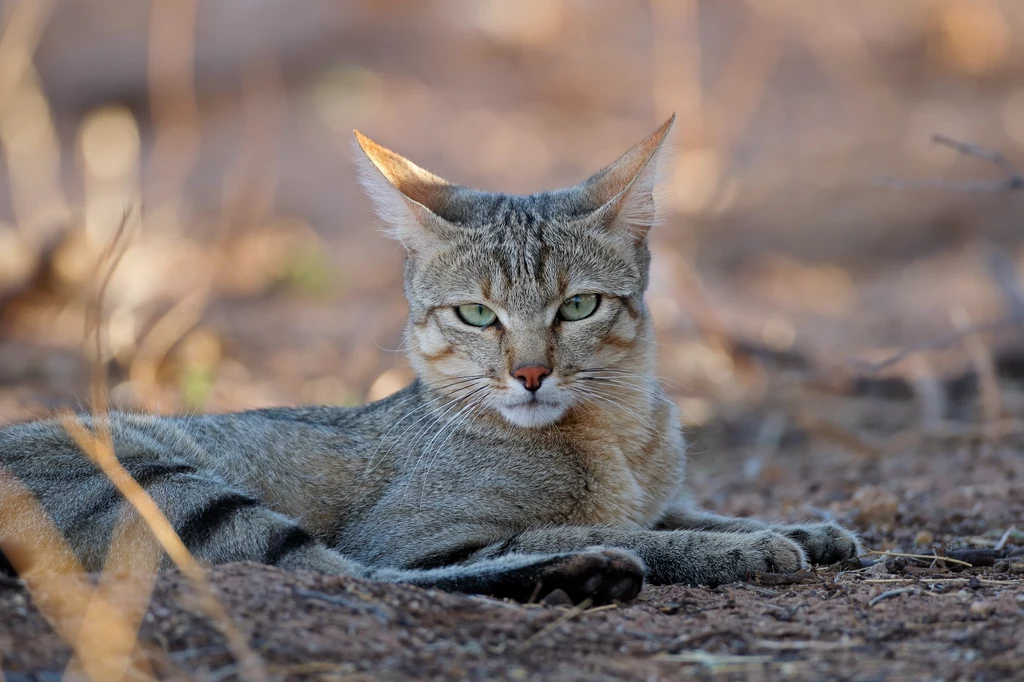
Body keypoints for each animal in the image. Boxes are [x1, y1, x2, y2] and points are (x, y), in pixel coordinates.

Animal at [0, 114, 864, 602]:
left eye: (577, 306)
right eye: (477, 315)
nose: (530, 373)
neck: (617, 434)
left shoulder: (656, 493)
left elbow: (685, 510)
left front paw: (807, 527)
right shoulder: (417, 534)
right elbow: (613, 532)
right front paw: (744, 546)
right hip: (167, 486)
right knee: (341, 575)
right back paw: (584, 574)